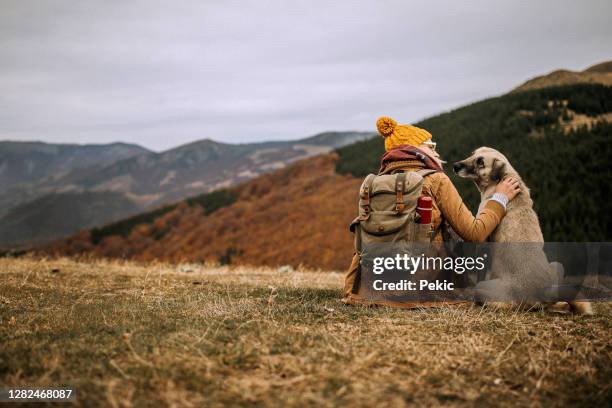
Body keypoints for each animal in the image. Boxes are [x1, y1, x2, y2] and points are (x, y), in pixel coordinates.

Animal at [452, 147, 592, 316]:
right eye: (472, 154)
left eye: (480, 162)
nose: (455, 166)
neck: (502, 180)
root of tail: (539, 295)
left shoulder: (483, 243)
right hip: (557, 266)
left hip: (484, 288)